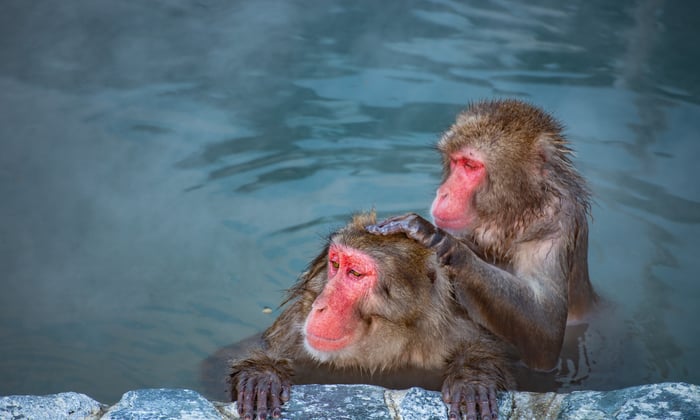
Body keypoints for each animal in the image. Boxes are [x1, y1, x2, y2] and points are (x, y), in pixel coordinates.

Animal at [229, 212, 516, 420]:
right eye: (336, 264)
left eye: (355, 273)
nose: (320, 305)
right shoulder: (292, 333)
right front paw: (262, 377)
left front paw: (473, 377)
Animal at [367, 99, 598, 372]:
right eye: (455, 162)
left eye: (471, 166)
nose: (443, 193)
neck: (516, 214)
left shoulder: (555, 225)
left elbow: (547, 331)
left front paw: (438, 239)